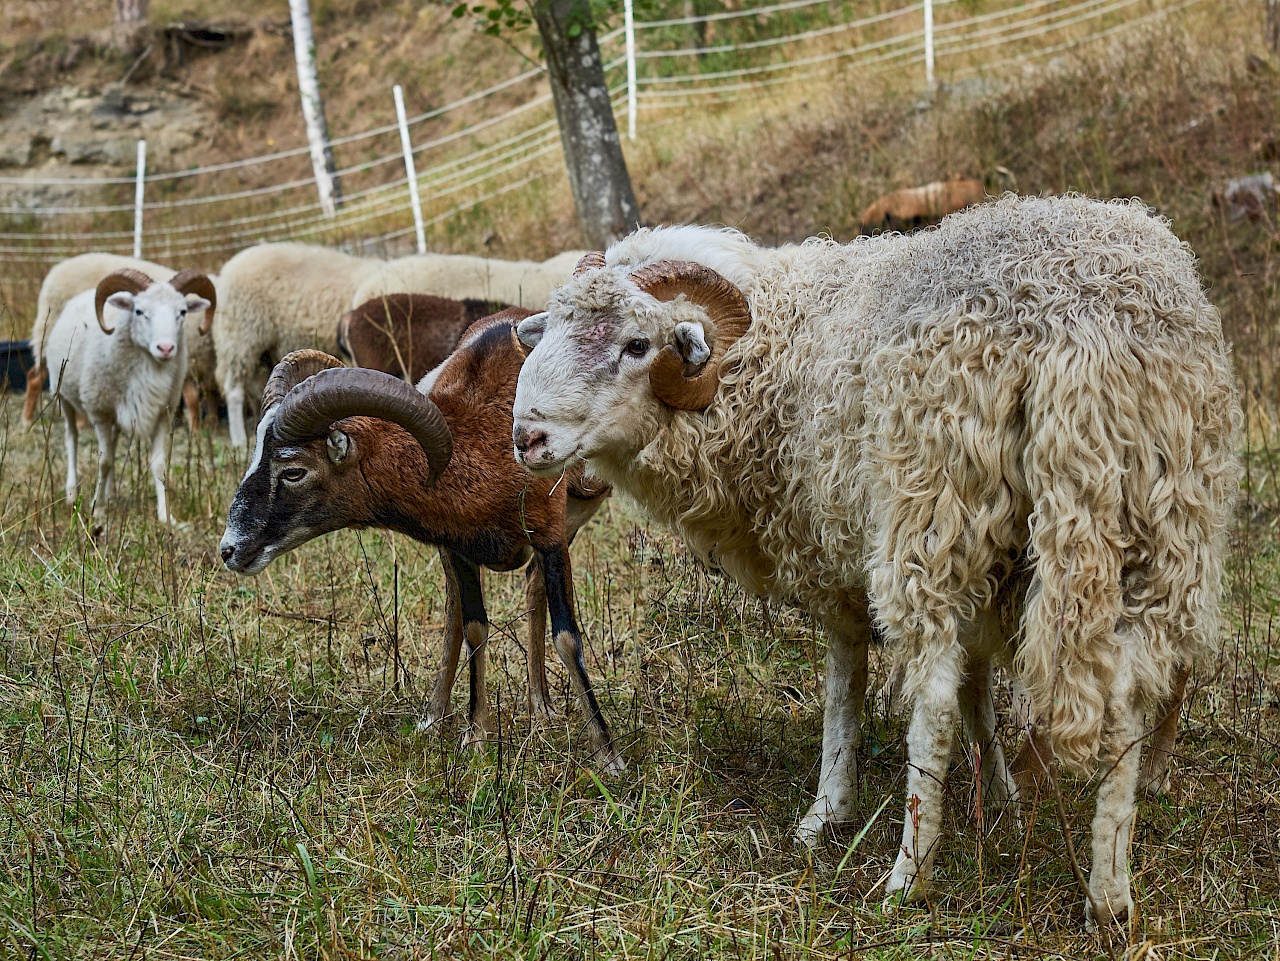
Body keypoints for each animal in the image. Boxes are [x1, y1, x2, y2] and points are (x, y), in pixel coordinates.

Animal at [45, 267, 217, 522]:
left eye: (182, 312)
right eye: (139, 311)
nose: (166, 348)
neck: (150, 370)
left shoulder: (162, 414)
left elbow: (159, 465)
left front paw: (166, 517)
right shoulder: (100, 412)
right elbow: (104, 461)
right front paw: (97, 510)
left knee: (112, 444)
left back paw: (109, 493)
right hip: (64, 396)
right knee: (72, 438)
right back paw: (71, 493)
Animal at [509, 195, 1239, 926]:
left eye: (636, 344)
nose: (527, 437)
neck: (771, 355)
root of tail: (1079, 325)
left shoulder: (830, 551)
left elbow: (847, 679)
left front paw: (828, 810)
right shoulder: (987, 563)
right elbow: (978, 683)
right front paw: (1001, 797)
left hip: (932, 510)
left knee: (933, 694)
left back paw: (908, 872)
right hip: (1158, 522)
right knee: (1127, 694)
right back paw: (1109, 895)